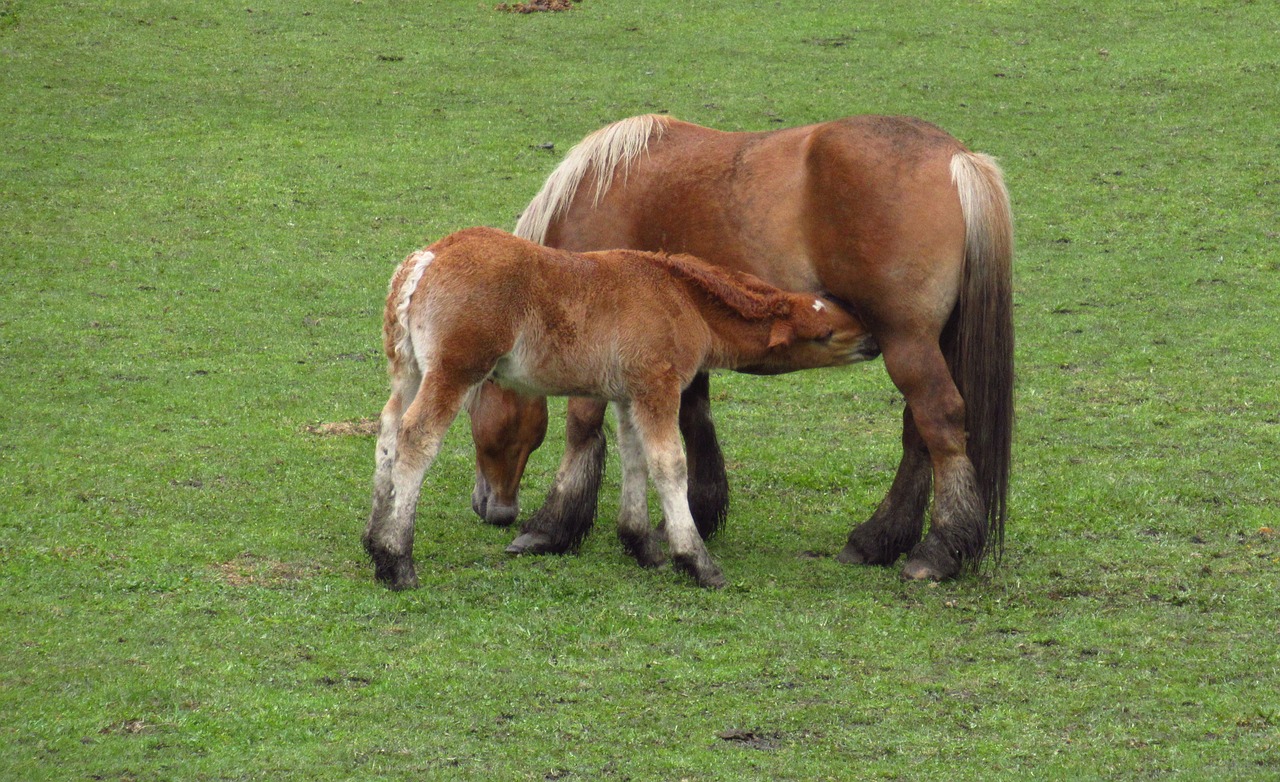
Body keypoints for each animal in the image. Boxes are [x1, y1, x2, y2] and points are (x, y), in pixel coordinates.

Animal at [366, 229, 875, 591]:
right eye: (826, 334)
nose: (873, 339)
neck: (680, 298)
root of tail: (427, 259)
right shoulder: (657, 386)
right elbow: (669, 465)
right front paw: (696, 562)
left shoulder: (629, 395)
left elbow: (635, 461)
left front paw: (641, 546)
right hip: (454, 370)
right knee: (415, 438)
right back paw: (397, 561)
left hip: (409, 369)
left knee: (388, 433)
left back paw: (373, 542)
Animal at [465, 116, 1013, 581]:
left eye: (472, 415)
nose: (489, 508)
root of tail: (957, 157)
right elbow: (694, 422)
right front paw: (697, 516)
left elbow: (583, 426)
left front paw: (549, 528)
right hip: (930, 343)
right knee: (919, 433)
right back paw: (878, 540)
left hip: (907, 343)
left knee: (939, 421)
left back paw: (936, 551)